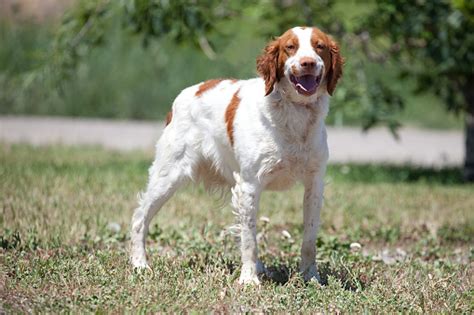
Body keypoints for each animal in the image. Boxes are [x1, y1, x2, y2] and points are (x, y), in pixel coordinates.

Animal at [131, 25, 342, 286]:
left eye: (319, 46)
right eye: (290, 47)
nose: (308, 63)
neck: (295, 114)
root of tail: (186, 93)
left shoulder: (314, 183)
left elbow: (309, 239)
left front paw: (310, 277)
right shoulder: (249, 185)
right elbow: (249, 238)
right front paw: (249, 279)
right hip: (168, 176)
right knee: (140, 217)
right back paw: (139, 264)